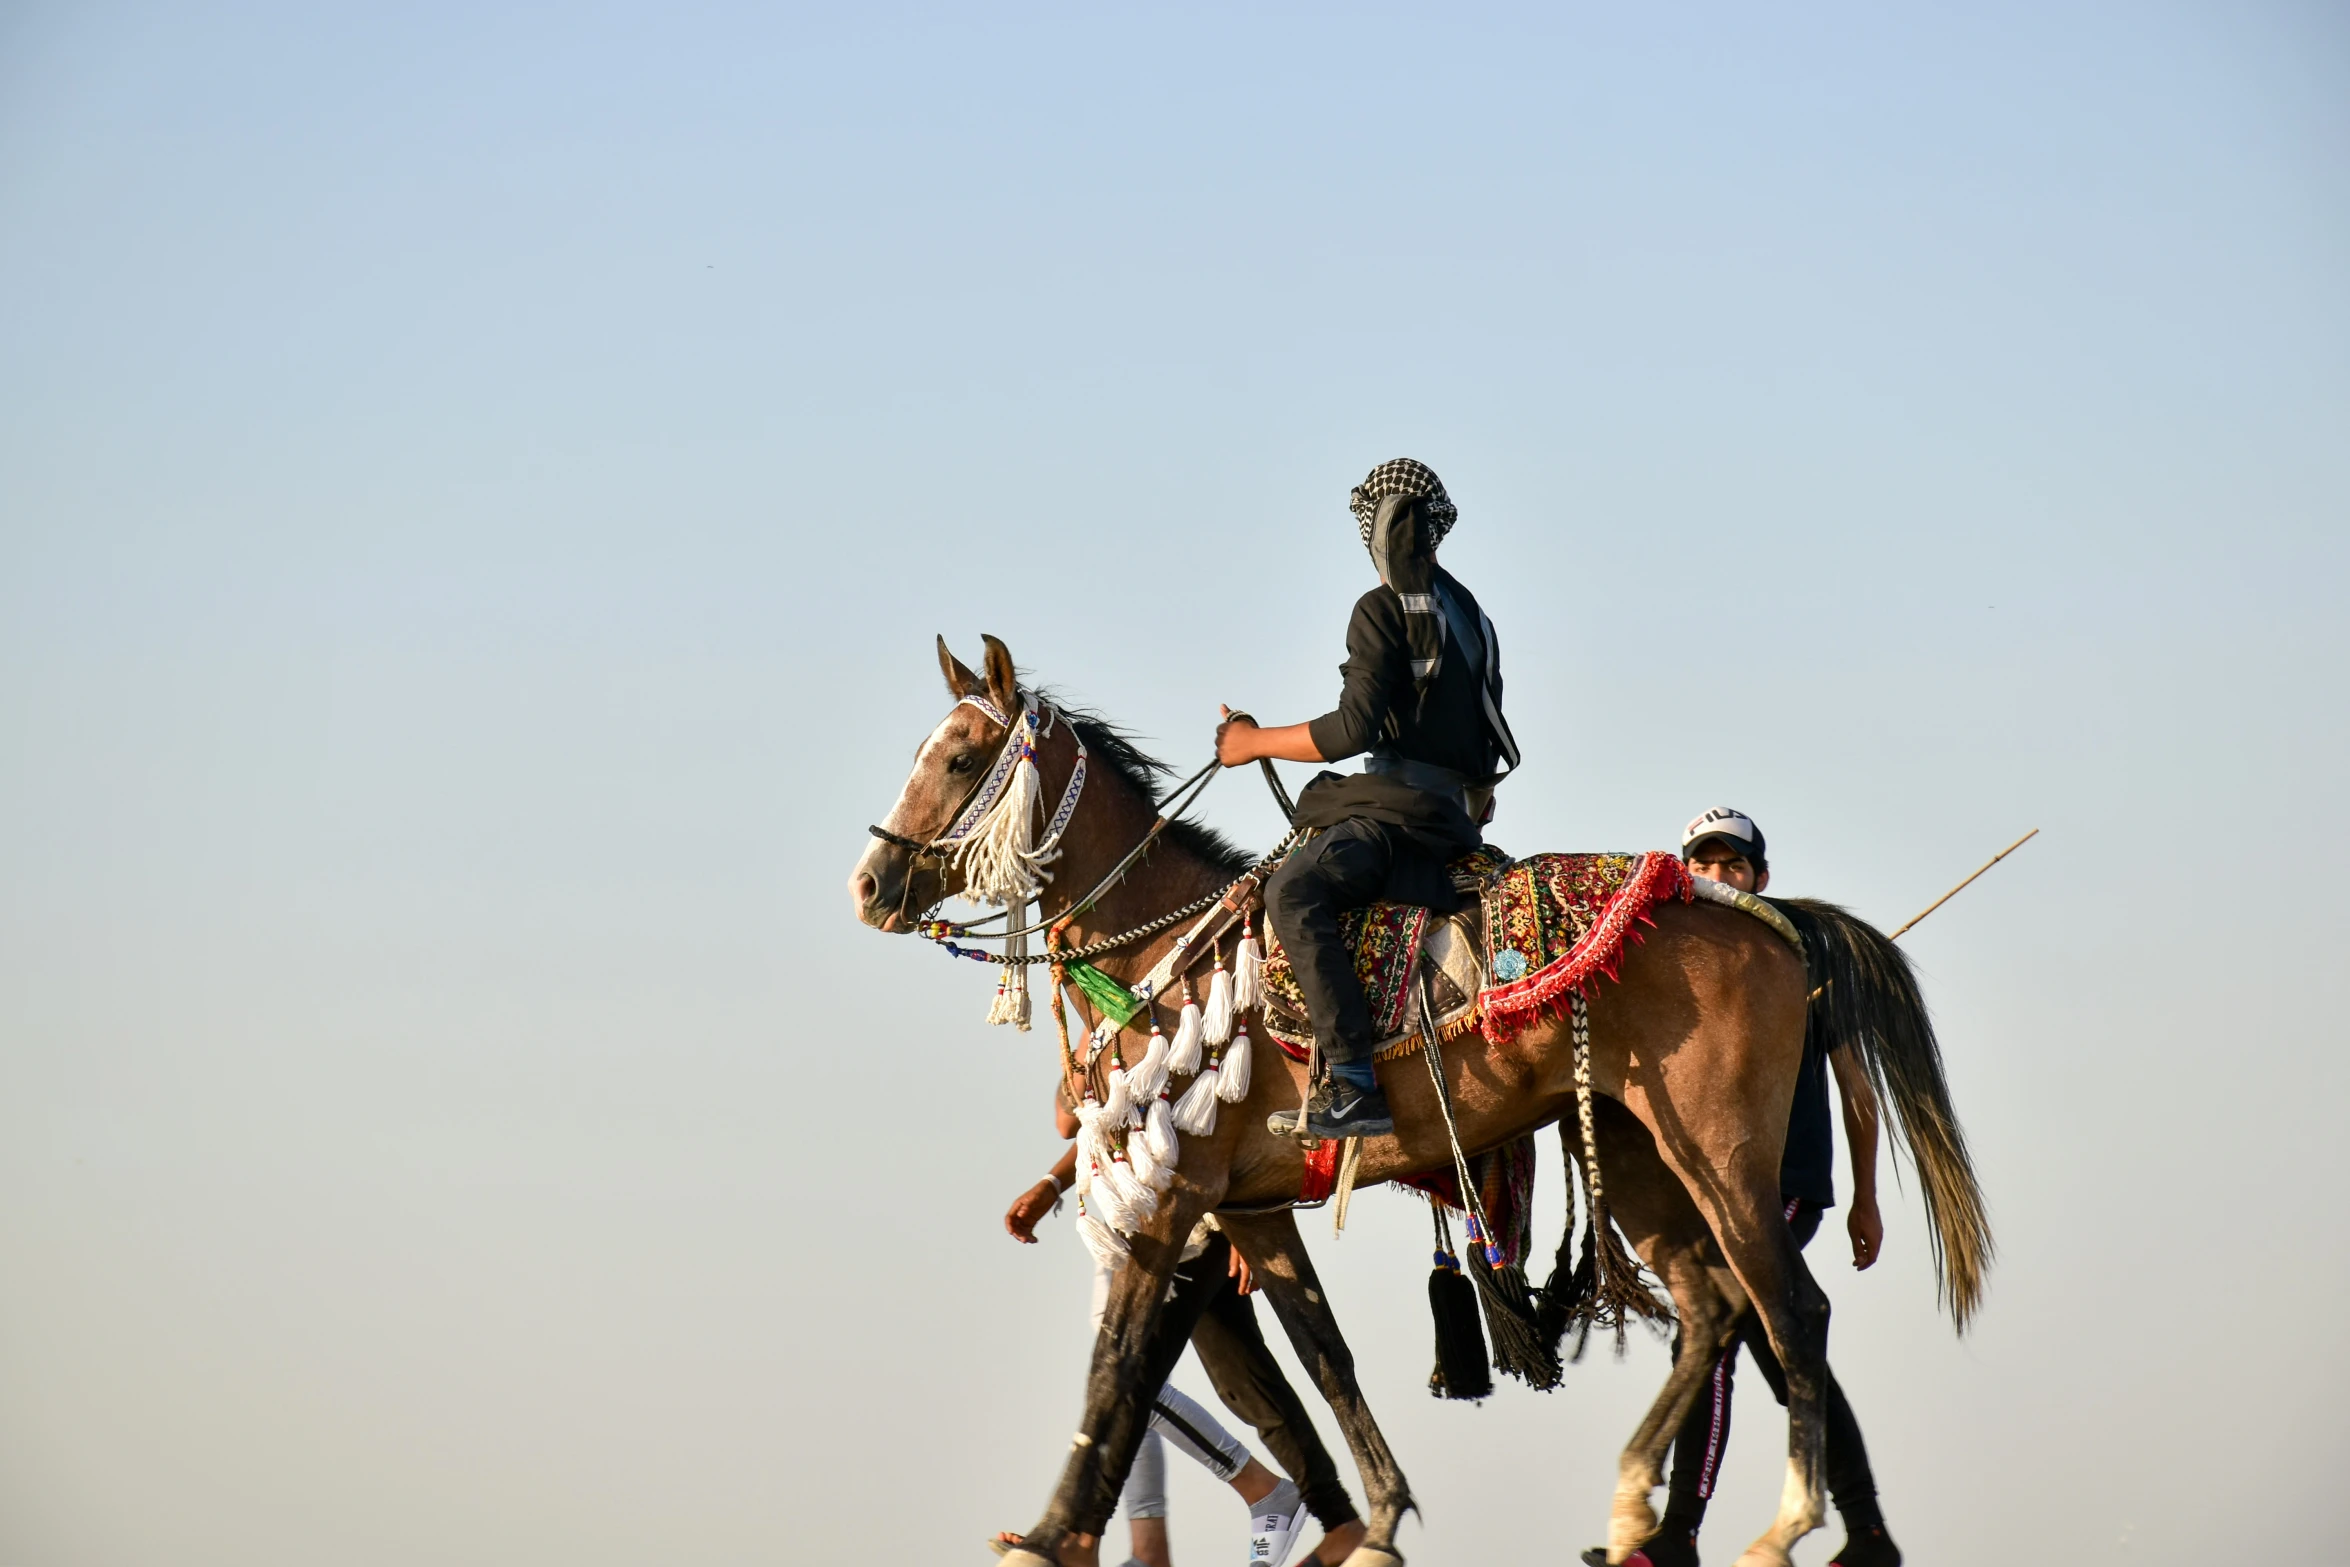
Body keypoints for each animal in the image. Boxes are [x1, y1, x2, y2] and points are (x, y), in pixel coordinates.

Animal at [845, 639, 1983, 1567]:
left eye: (958, 758)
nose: (870, 883)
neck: (1167, 945)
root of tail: (1764, 915)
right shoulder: (1251, 1208)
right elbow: (1323, 1356)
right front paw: (1382, 1518)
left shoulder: (1174, 1200)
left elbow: (1117, 1360)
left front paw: (1049, 1533)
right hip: (1640, 1152)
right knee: (1711, 1311)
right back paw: (1632, 1508)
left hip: (1726, 1157)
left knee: (1790, 1309)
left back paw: (1783, 1525)